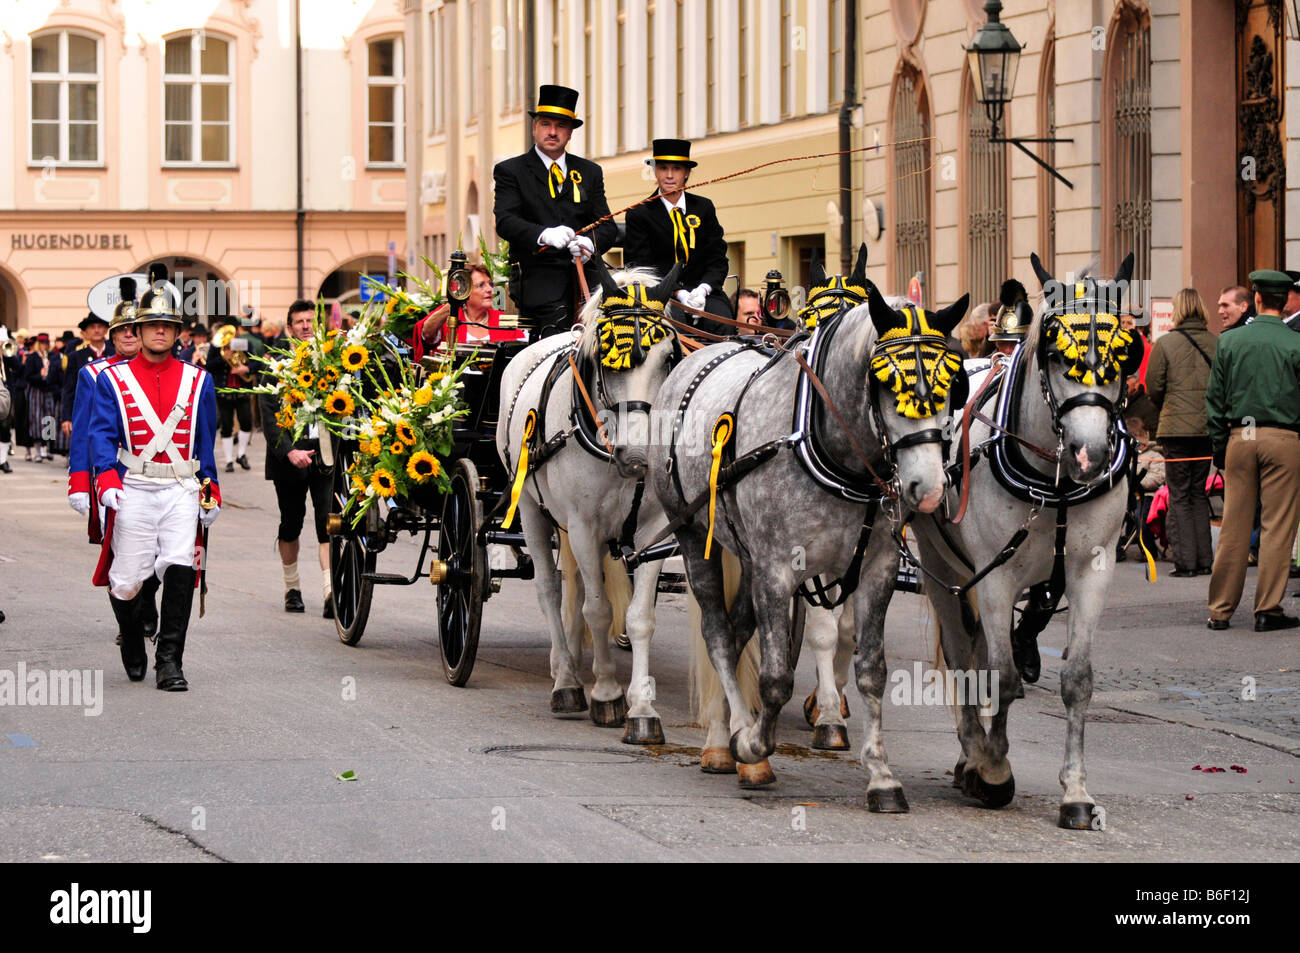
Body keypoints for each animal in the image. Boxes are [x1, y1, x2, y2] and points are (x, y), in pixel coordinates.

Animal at [493, 263, 681, 738]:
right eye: (609, 360)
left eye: (668, 357)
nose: (638, 455)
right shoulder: (582, 526)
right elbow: (598, 609)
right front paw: (607, 694)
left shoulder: (653, 533)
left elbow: (639, 616)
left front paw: (642, 710)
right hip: (532, 511)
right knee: (548, 587)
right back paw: (565, 680)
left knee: (571, 590)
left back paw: (574, 664)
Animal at [647, 252, 967, 811]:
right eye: (888, 384)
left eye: (952, 384)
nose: (927, 489)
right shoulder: (779, 569)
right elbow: (776, 677)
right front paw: (754, 744)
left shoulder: (875, 569)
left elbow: (871, 671)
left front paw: (881, 775)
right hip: (693, 535)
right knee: (717, 634)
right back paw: (726, 740)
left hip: (745, 554)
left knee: (737, 629)